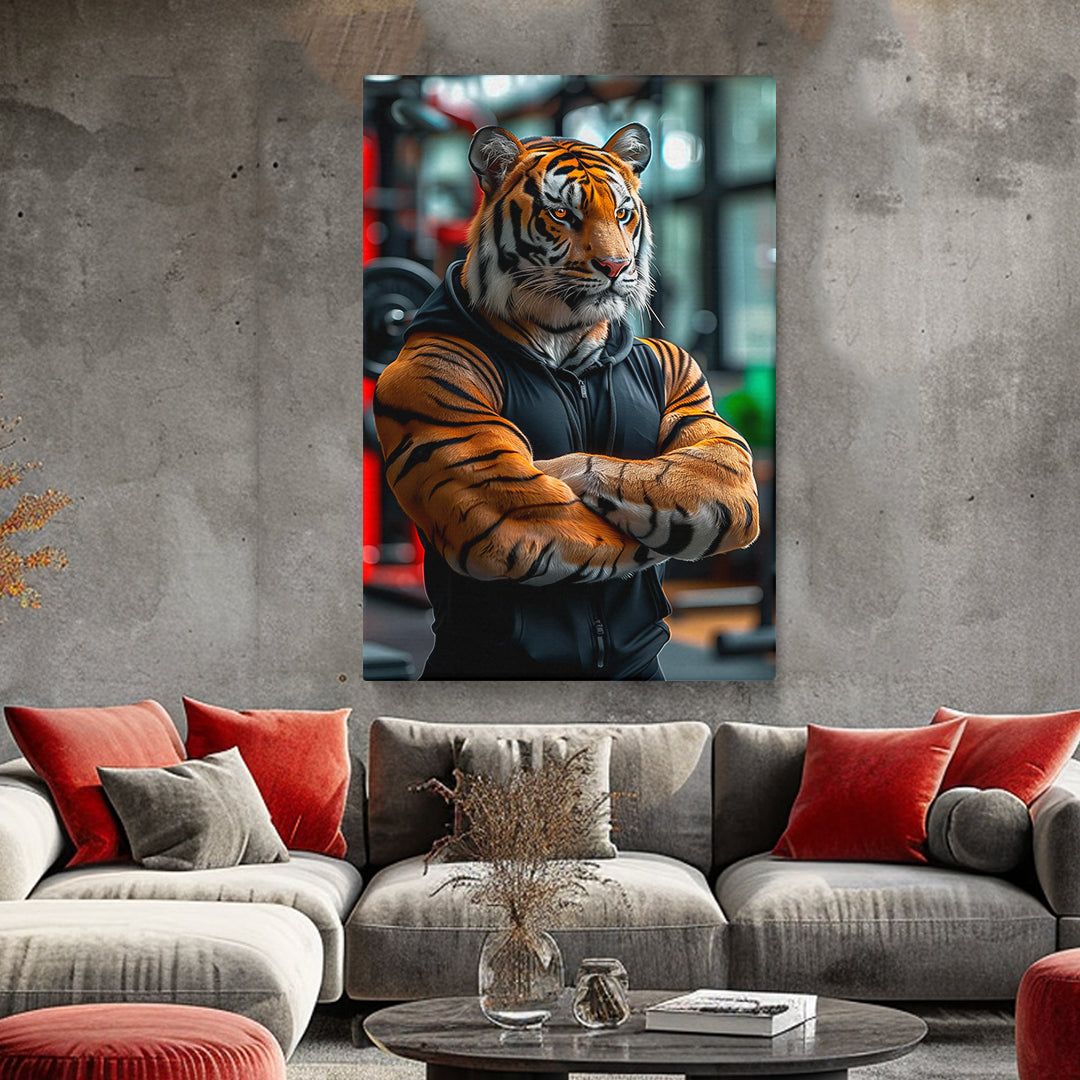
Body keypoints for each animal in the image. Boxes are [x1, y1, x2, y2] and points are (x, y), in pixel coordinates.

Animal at [372, 122, 760, 679]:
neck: (565, 343)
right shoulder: (428, 381)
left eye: (623, 214)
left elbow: (707, 461)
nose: (616, 266)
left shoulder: (690, 385)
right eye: (561, 215)